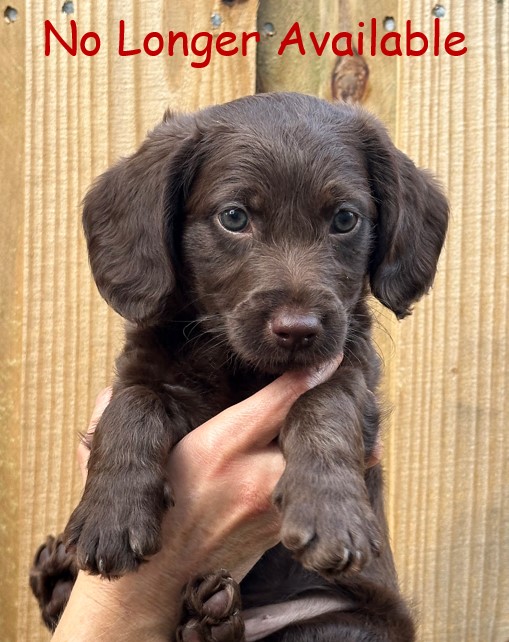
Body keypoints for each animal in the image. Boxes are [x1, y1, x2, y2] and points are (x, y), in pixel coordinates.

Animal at [29, 92, 446, 636]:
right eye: (234, 217)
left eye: (344, 219)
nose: (298, 329)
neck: (241, 365)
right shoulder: (146, 365)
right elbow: (132, 406)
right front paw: (111, 515)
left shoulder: (351, 369)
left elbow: (325, 405)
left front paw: (330, 510)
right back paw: (62, 581)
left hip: (345, 621)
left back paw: (209, 621)